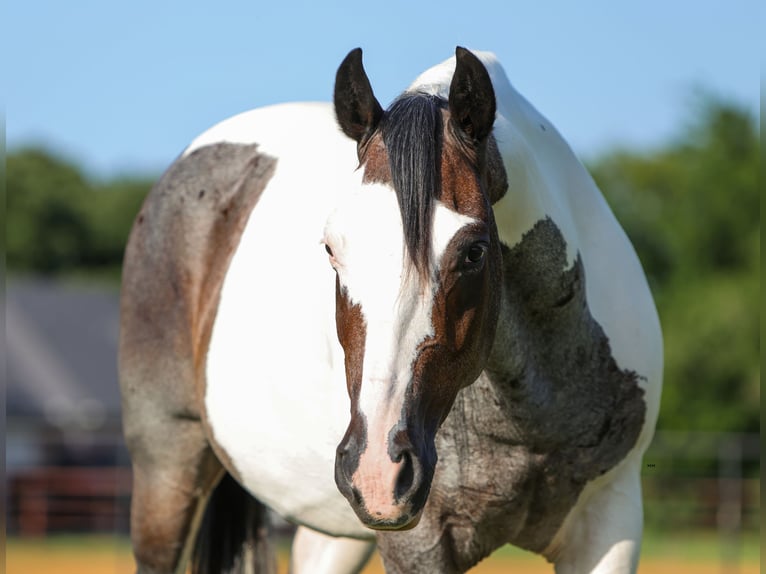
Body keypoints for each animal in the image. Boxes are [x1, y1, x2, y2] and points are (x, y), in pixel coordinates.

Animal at [119, 47, 662, 574]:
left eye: (474, 252)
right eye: (331, 248)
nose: (380, 469)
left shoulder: (610, 524)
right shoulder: (417, 542)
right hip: (168, 475)